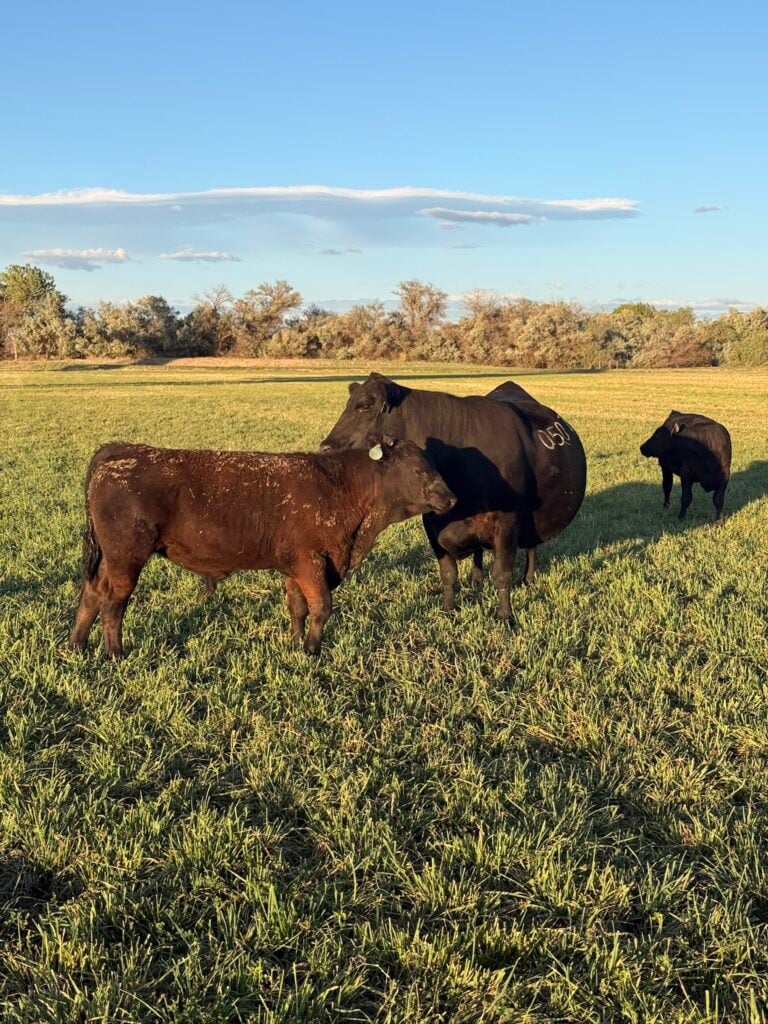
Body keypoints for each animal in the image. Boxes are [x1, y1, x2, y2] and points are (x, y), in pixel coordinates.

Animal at [69, 437, 455, 659]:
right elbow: (321, 608)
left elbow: (298, 608)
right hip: (126, 558)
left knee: (92, 594)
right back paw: (115, 654)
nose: (451, 498)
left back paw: (77, 646)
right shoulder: (312, 562)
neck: (341, 486)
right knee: (114, 603)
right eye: (420, 470)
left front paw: (296, 644)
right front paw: (312, 651)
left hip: (110, 560)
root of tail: (121, 451)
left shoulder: (297, 567)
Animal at [320, 373, 587, 622]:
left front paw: (505, 617)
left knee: (531, 546)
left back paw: (528, 579)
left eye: (365, 405)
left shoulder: (508, 520)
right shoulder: (433, 523)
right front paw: (448, 610)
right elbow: (448, 573)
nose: (325, 447)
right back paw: (477, 582)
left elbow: (502, 574)